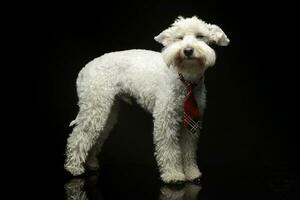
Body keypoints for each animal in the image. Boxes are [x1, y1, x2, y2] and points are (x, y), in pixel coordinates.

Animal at [65, 16, 230, 184]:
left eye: (200, 36)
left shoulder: (191, 124)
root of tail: (84, 70)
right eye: (179, 38)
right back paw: (74, 167)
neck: (185, 78)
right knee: (78, 136)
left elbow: (188, 150)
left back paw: (90, 163)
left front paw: (191, 173)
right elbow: (169, 149)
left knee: (96, 137)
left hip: (107, 112)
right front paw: (173, 175)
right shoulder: (166, 120)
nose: (188, 50)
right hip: (95, 107)